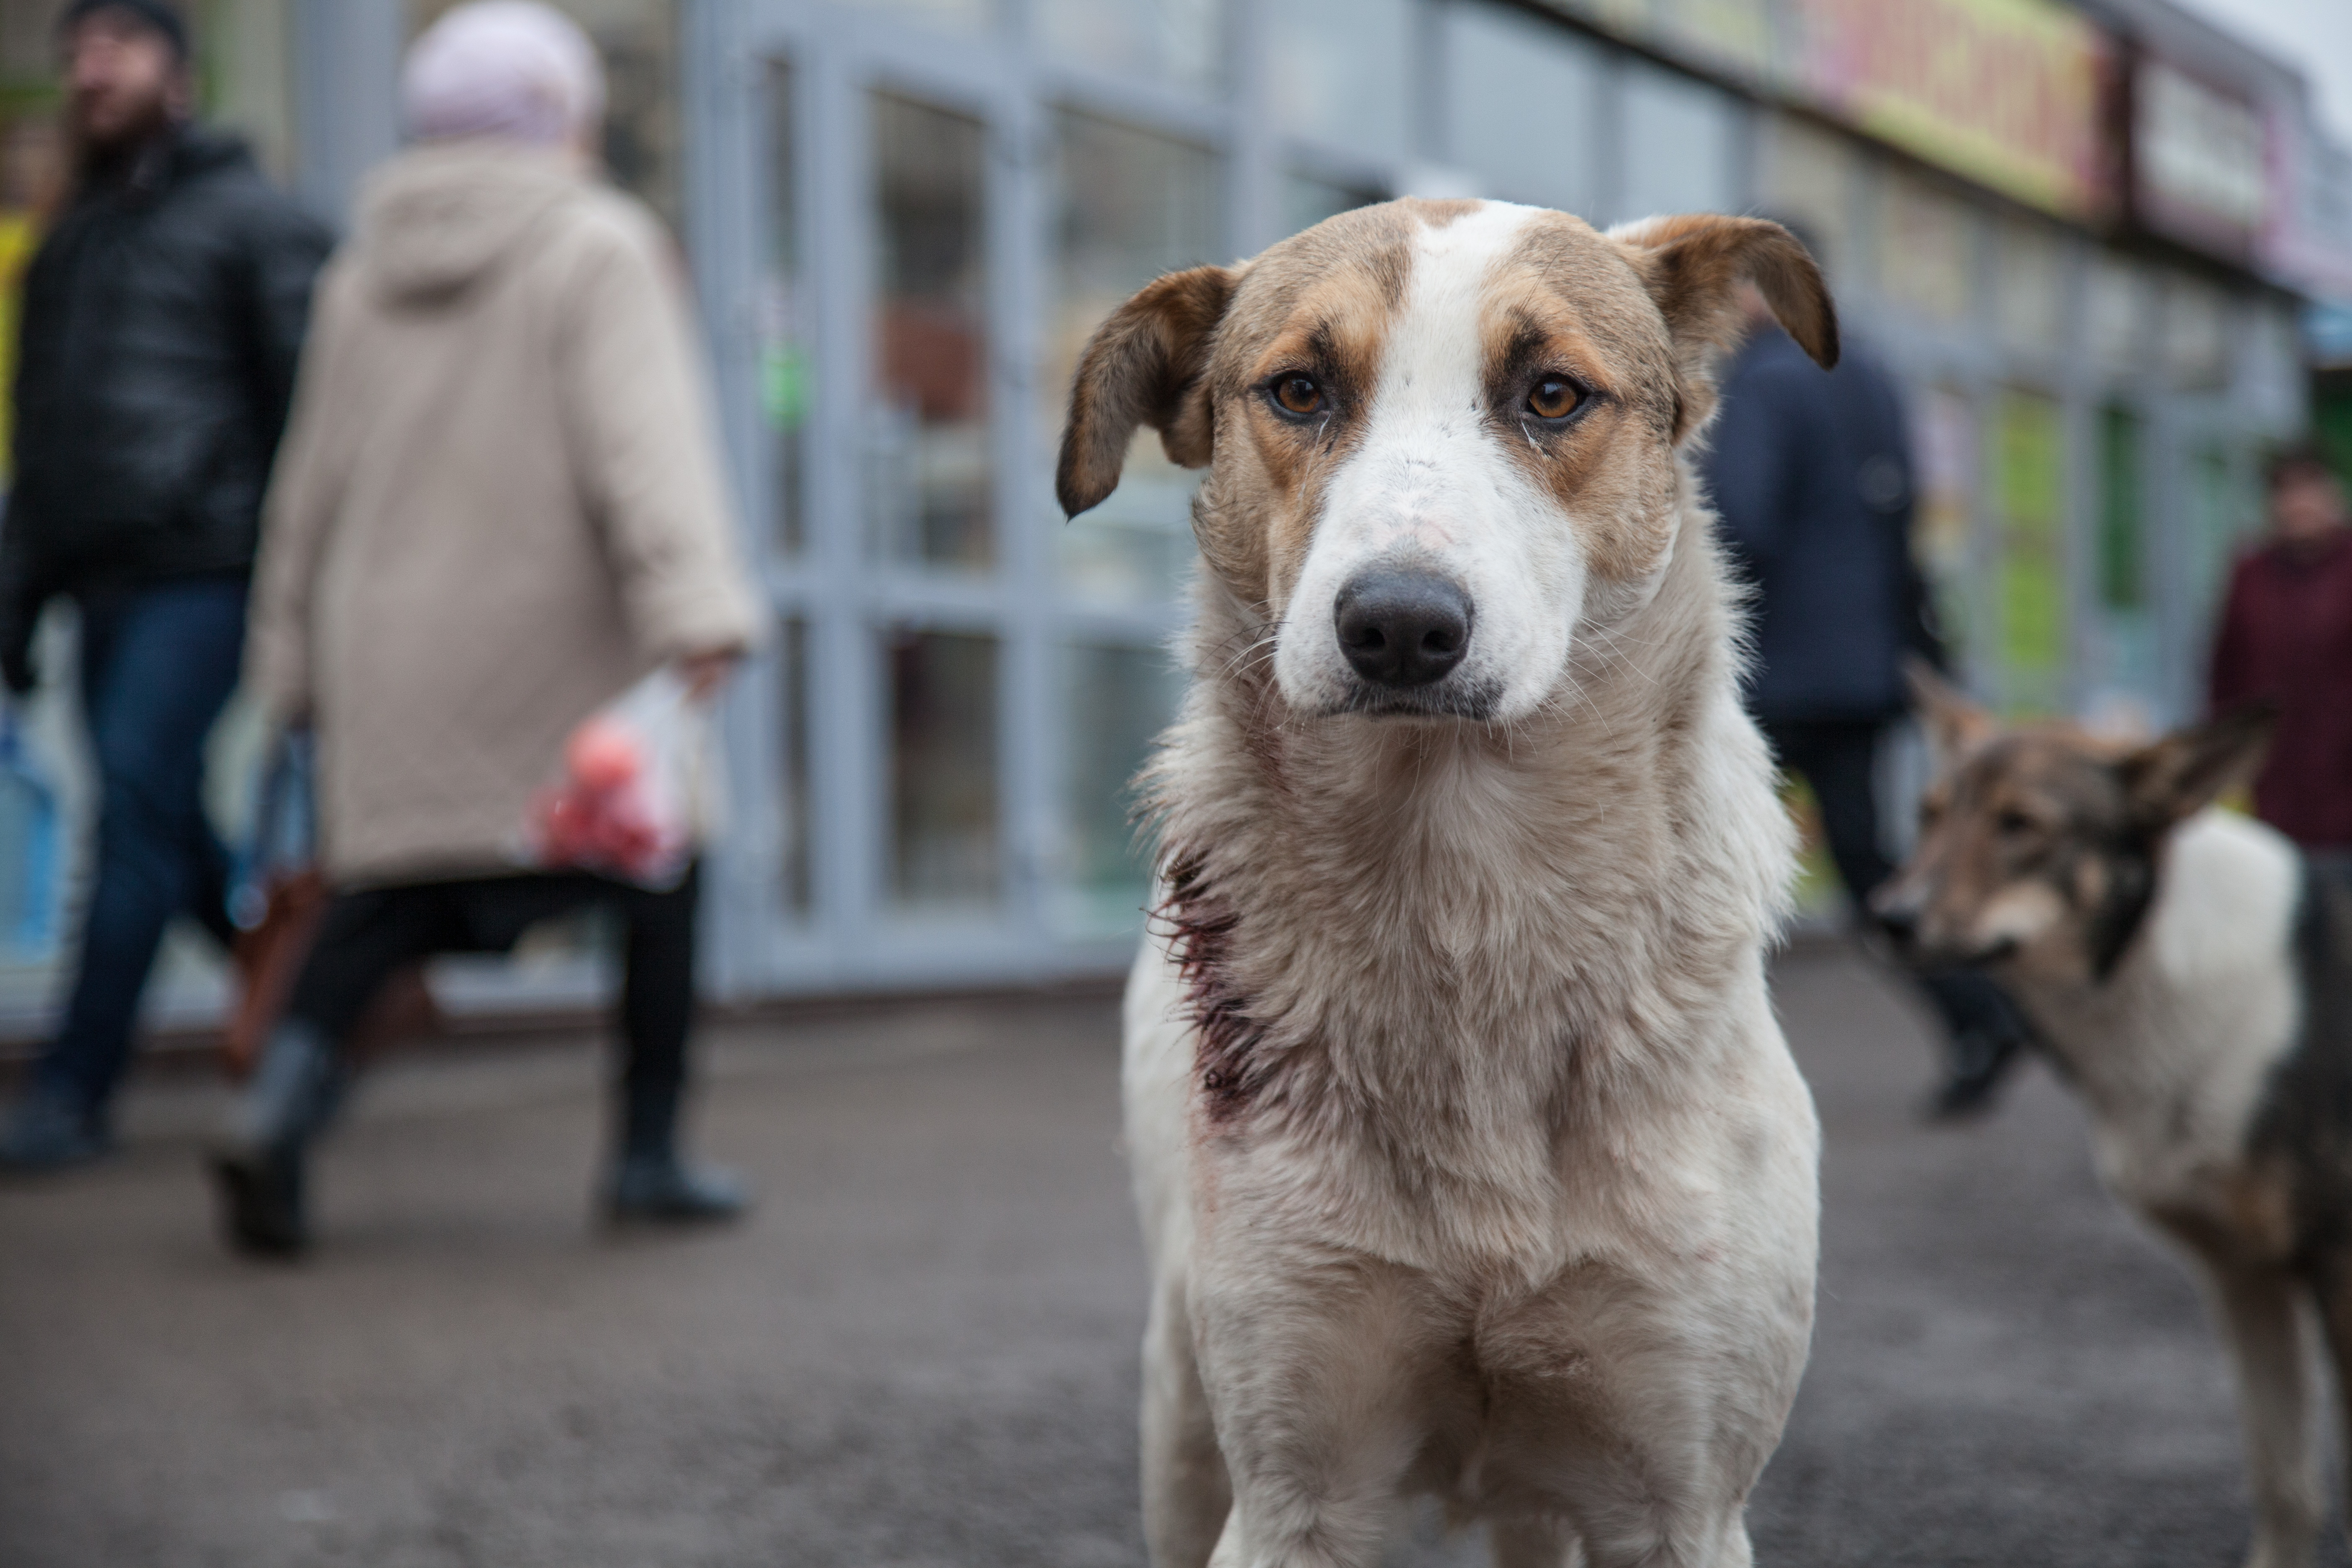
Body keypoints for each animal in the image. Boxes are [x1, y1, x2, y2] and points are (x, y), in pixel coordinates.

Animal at [1063, 200, 1834, 1568]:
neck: (1462, 884)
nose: (1400, 626)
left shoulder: (1682, 1502)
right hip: (1181, 1419)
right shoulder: (1293, 1494)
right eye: (1300, 389)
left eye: (1552, 394)